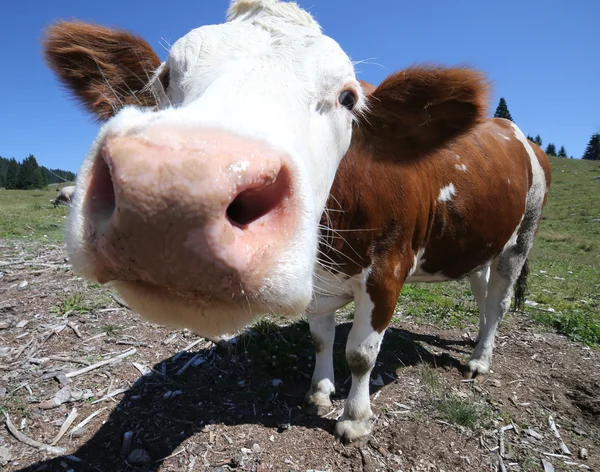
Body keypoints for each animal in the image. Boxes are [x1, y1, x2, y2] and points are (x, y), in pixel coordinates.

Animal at [42, 0, 552, 444]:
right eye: (165, 76)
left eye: (348, 97)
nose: (171, 197)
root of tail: (508, 128)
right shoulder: (319, 280)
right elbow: (321, 339)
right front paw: (320, 392)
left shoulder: (388, 268)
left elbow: (361, 354)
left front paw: (355, 419)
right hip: (479, 242)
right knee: (481, 291)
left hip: (522, 236)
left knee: (499, 301)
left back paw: (479, 360)